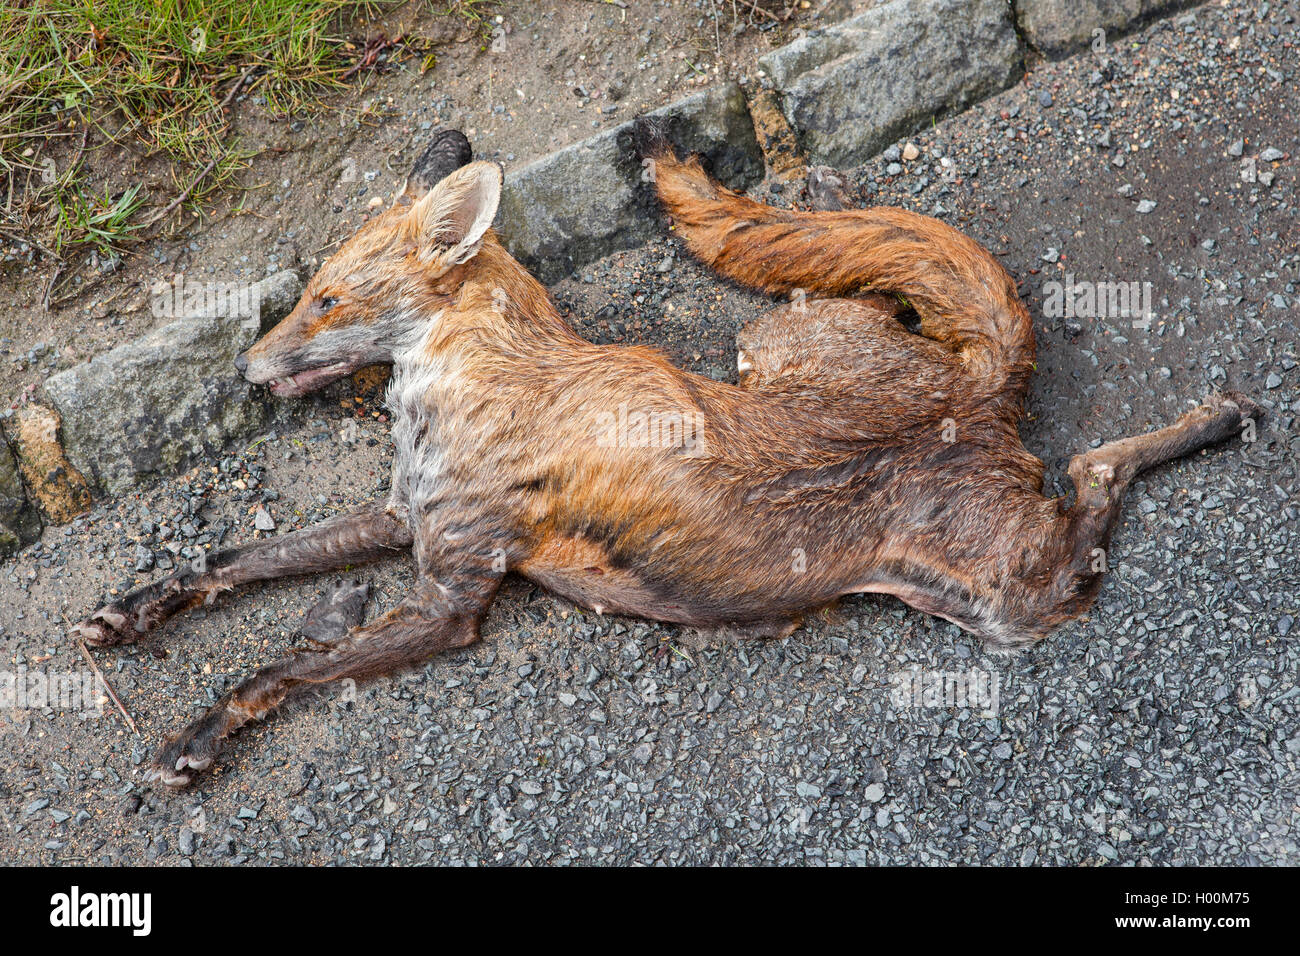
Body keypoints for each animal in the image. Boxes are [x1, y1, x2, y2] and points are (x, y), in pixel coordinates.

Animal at [68, 125, 1258, 785]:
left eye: (322, 298)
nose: (246, 369)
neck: (474, 386)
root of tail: (975, 391)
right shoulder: (405, 518)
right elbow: (235, 565)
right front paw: (133, 610)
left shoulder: (451, 596)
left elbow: (276, 665)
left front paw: (197, 734)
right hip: (777, 351)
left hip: (1013, 598)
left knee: (1097, 474)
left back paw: (1217, 419)